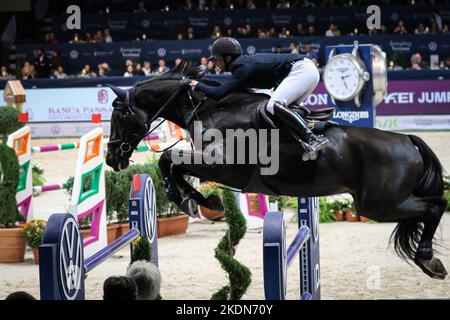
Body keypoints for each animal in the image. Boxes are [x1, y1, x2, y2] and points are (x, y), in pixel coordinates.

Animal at [105, 62, 446, 280]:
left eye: (119, 116)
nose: (111, 159)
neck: (207, 108)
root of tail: (409, 140)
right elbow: (173, 163)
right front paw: (201, 201)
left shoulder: (223, 165)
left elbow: (170, 159)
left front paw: (192, 201)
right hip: (382, 203)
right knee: (432, 207)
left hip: (379, 204)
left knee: (436, 205)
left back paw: (428, 259)